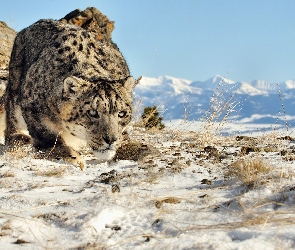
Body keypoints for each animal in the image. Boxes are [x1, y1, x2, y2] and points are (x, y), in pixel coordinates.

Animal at [3, 13, 138, 168]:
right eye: (92, 112)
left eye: (122, 113)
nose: (111, 139)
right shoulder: (32, 105)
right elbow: (46, 134)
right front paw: (71, 156)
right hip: (14, 88)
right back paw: (19, 137)